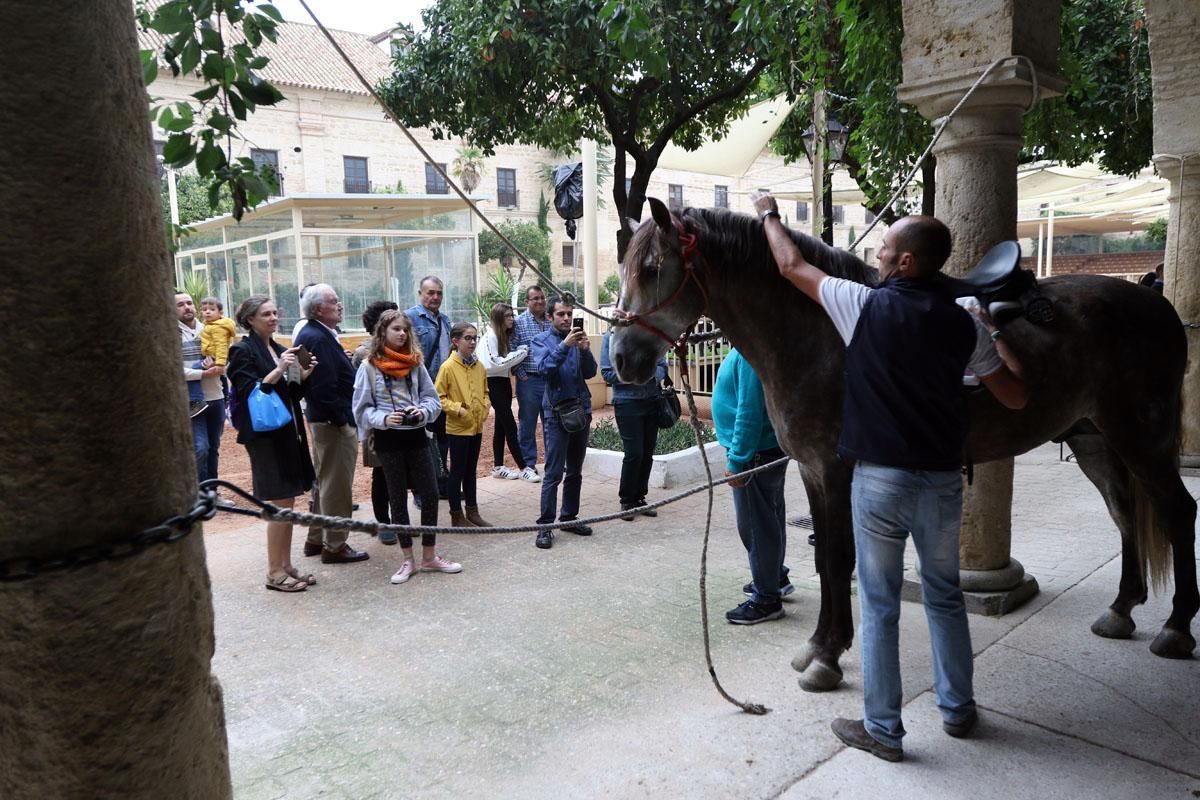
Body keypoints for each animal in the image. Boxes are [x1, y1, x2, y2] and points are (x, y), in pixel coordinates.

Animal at [609, 196, 1200, 690]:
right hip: (1094, 440)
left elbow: (838, 558)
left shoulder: (836, 469)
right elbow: (826, 557)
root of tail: (1158, 306)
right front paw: (821, 646)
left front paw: (828, 656)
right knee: (1125, 513)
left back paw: (1176, 627)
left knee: (1176, 511)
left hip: (1141, 439)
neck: (821, 333)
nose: (620, 359)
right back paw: (1122, 609)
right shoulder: (812, 471)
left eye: (653, 268)